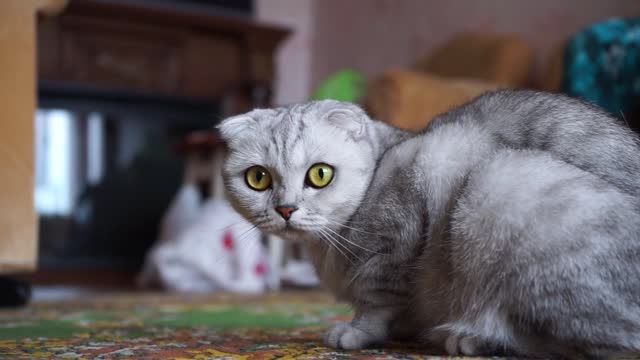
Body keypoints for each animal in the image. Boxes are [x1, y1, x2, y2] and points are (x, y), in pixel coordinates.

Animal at [216, 90, 640, 358]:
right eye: (258, 178)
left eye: (320, 175)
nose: (286, 209)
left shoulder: (394, 242)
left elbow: (375, 303)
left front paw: (354, 333)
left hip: (500, 186)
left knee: (592, 346)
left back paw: (471, 336)